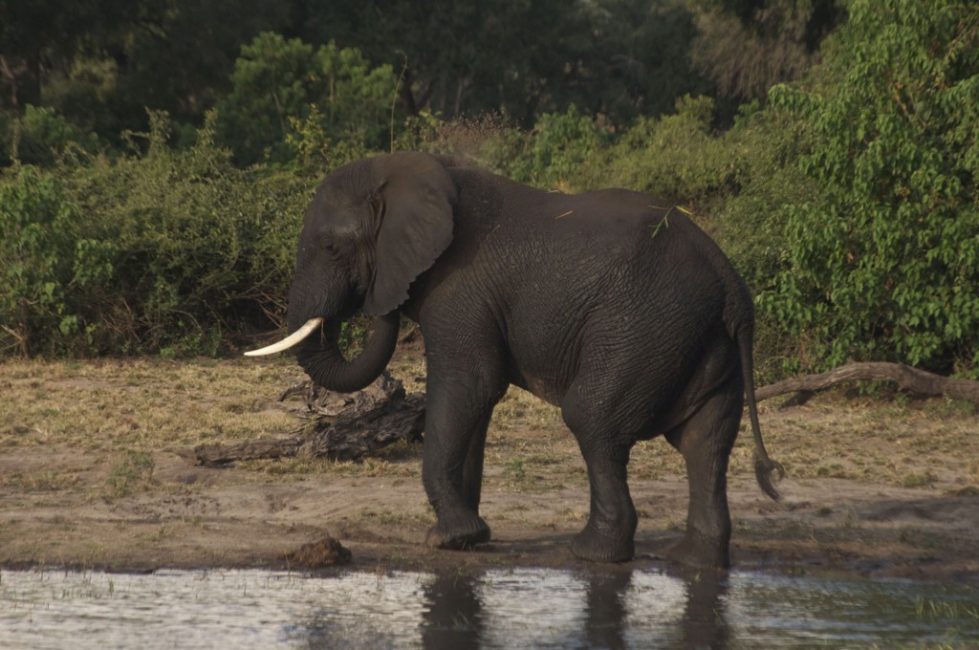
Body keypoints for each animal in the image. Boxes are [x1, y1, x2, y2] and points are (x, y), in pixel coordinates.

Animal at [246, 151, 783, 568]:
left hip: (644, 329)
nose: (376, 299)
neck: (413, 168)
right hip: (699, 339)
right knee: (703, 441)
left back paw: (591, 553)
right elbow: (476, 404)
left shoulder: (459, 289)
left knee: (593, 419)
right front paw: (468, 540)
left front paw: (448, 539)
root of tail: (730, 282)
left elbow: (469, 385)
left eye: (331, 246)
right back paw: (693, 562)